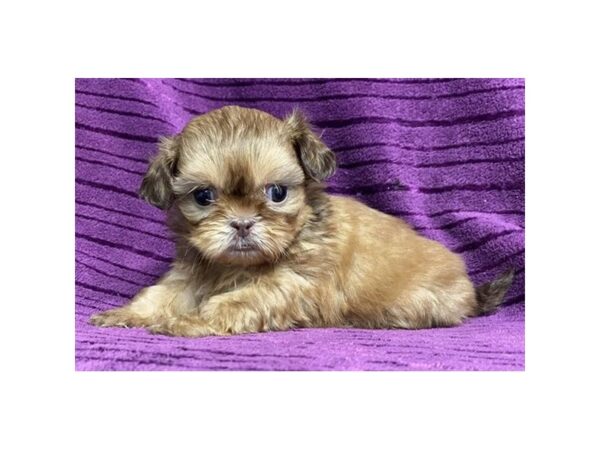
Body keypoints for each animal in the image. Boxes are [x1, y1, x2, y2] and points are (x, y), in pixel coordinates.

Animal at [88, 106, 510, 338]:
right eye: (203, 197)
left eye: (277, 193)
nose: (242, 224)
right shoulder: (193, 274)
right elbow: (159, 294)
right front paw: (128, 314)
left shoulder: (290, 285)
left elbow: (236, 299)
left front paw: (189, 321)